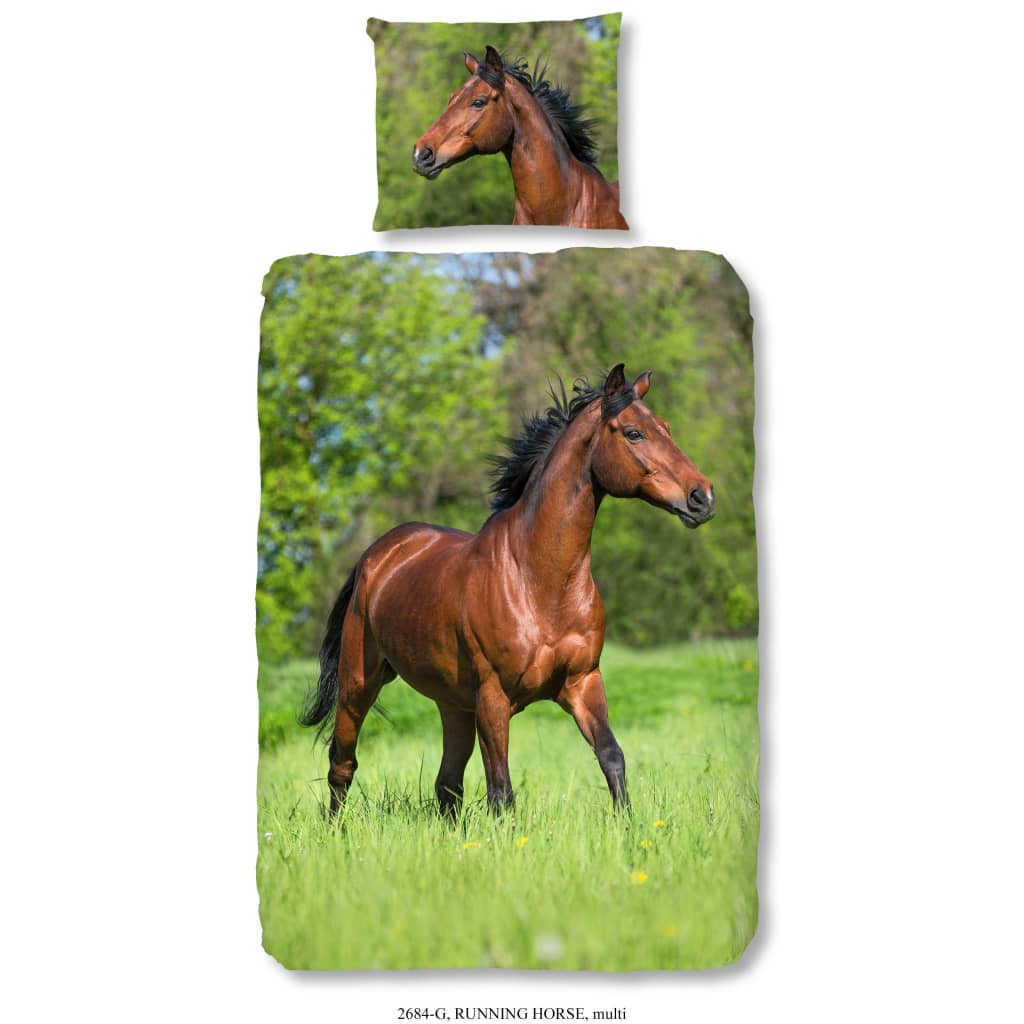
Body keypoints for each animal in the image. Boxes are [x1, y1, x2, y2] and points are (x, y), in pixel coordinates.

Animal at [300, 364, 714, 817]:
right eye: (634, 433)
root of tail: (377, 555)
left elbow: (611, 757)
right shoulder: (494, 697)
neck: (539, 583)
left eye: (666, 428)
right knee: (342, 765)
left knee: (447, 784)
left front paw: (628, 826)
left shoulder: (583, 683)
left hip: (453, 703)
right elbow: (502, 791)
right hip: (359, 684)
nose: (702, 497)